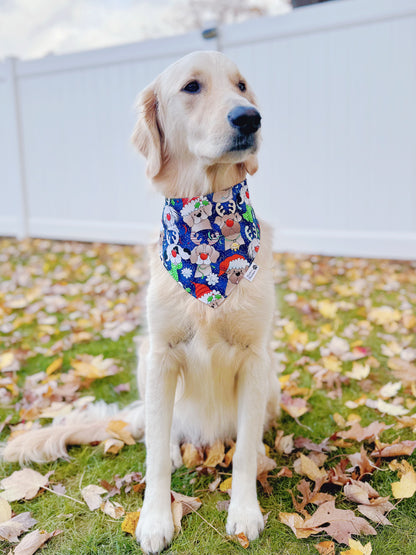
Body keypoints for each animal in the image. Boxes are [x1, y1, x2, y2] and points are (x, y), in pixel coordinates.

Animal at [2, 50, 280, 552]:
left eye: (242, 85)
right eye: (192, 87)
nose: (249, 118)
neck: (210, 224)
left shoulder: (255, 356)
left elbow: (245, 452)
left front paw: (244, 511)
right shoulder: (163, 352)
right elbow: (153, 457)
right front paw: (153, 519)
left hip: (272, 375)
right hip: (144, 356)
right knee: (159, 432)